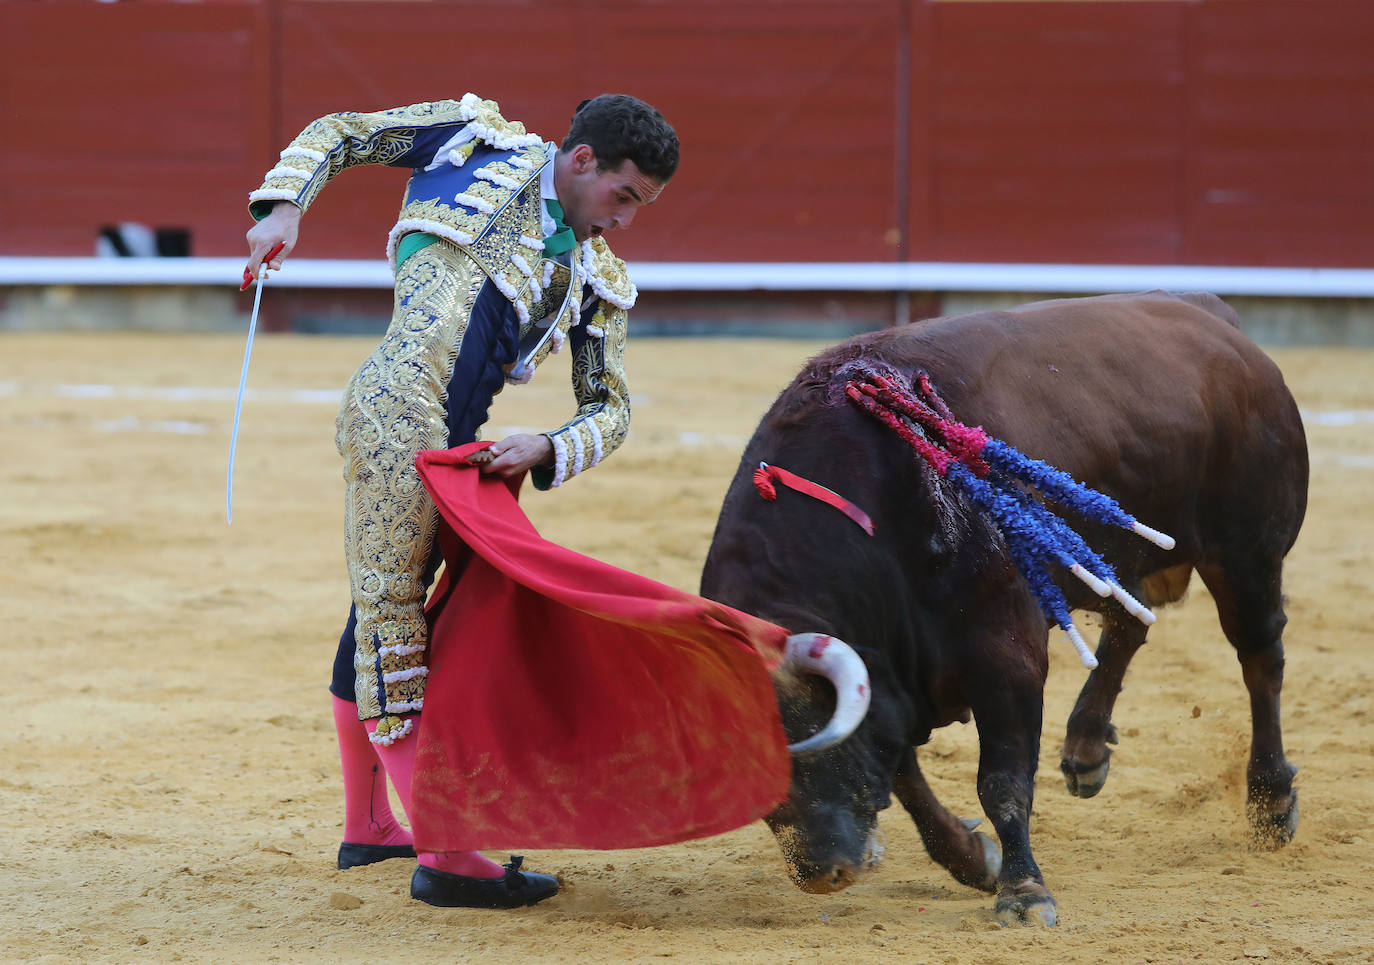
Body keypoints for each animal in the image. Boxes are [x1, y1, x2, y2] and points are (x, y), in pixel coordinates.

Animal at [703, 292, 1302, 929]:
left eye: (810, 740)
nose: (820, 873)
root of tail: (1212, 316)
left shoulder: (1005, 657)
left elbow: (1001, 780)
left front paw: (1024, 893)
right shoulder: (890, 680)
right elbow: (904, 775)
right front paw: (974, 859)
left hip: (1247, 556)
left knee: (1260, 658)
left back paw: (1271, 804)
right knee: (1129, 622)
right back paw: (1086, 751)